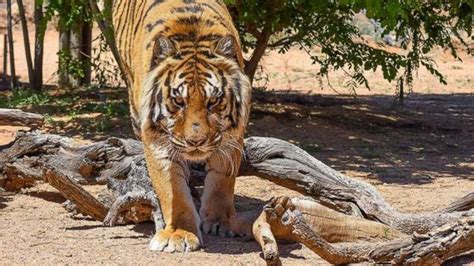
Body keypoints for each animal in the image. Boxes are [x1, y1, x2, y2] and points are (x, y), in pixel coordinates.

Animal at [112, 0, 252, 251]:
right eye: (178, 101)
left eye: (213, 101)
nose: (196, 142)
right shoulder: (157, 140)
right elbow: (172, 190)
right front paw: (179, 232)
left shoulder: (232, 137)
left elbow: (221, 181)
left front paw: (220, 222)